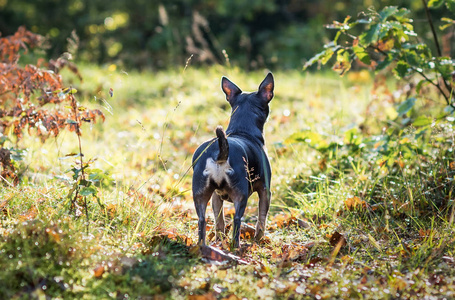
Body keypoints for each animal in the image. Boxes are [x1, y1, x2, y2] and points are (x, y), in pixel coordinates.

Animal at [192, 72, 274, 248]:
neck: (242, 130)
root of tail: (219, 153)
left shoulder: (216, 196)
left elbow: (219, 222)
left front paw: (219, 240)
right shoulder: (265, 191)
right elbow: (261, 220)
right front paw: (259, 240)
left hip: (200, 194)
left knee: (202, 221)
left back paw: (203, 247)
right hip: (241, 196)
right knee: (237, 221)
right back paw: (236, 247)